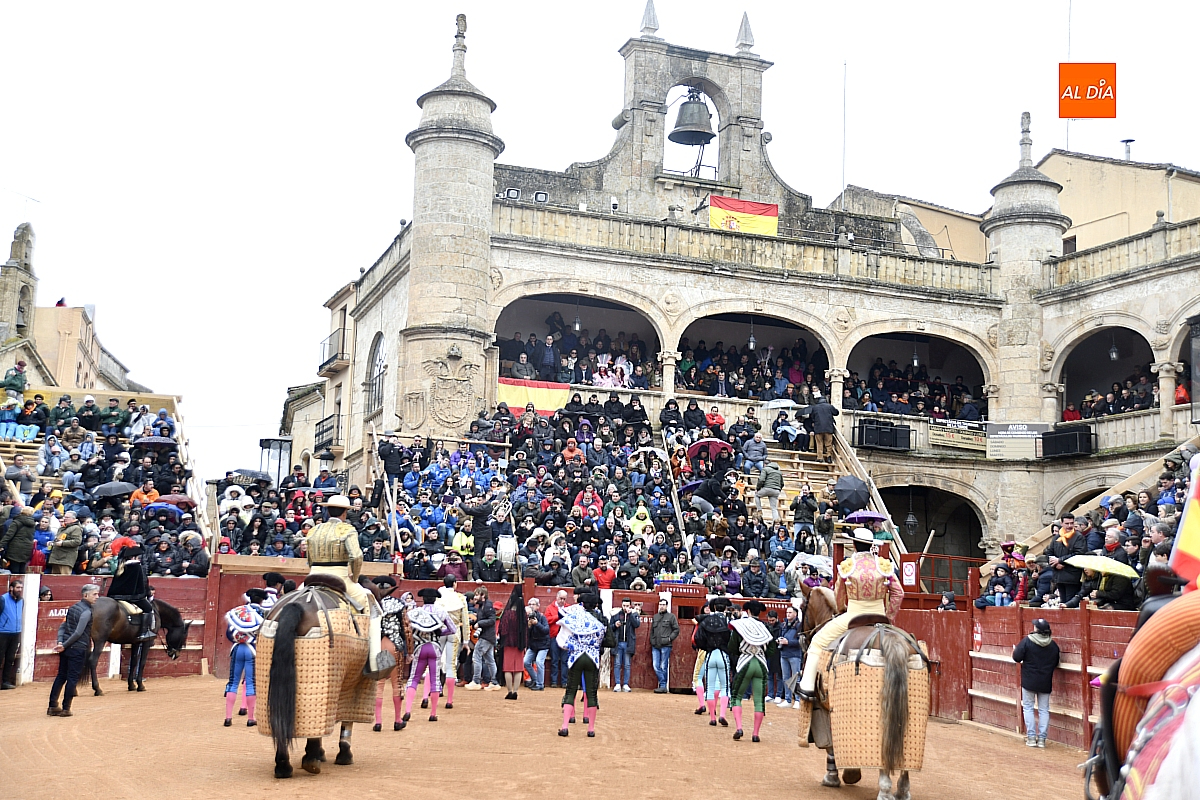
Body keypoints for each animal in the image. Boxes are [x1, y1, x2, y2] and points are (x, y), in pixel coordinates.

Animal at [259, 574, 390, 779]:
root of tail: (295, 605)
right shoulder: (356, 682)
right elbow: (346, 721)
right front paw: (343, 755)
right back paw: (311, 761)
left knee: (280, 718)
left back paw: (283, 765)